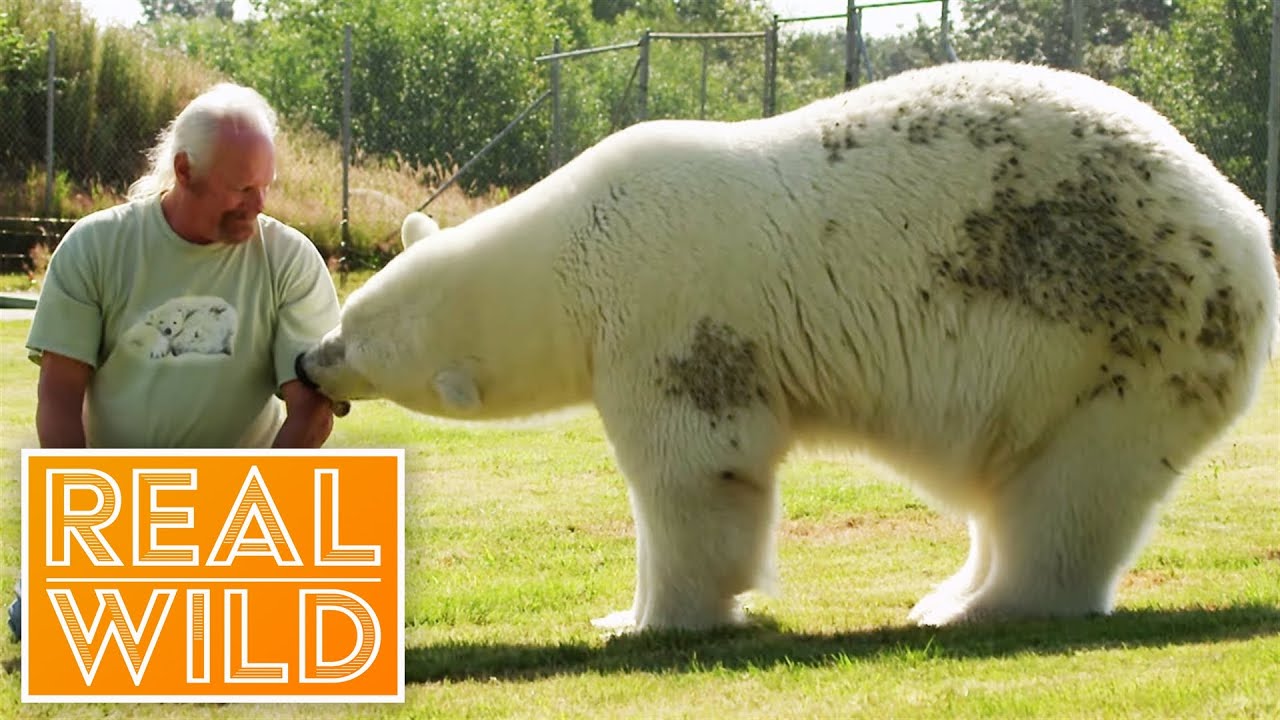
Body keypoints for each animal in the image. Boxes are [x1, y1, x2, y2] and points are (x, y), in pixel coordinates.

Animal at [297, 61, 1280, 632]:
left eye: (355, 338)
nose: (308, 361)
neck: (573, 247)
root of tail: (1243, 224)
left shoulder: (668, 314)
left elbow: (696, 469)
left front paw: (648, 620)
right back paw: (948, 594)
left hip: (1122, 341)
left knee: (1068, 493)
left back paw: (981, 609)